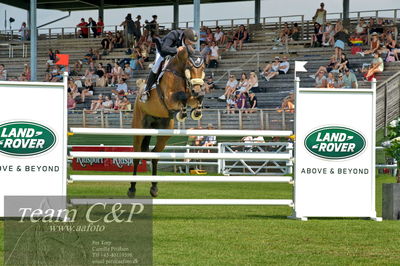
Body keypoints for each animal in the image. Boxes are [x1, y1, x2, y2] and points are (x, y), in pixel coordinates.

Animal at [128, 46, 205, 197]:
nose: (196, 90)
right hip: (139, 129)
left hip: (164, 132)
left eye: (203, 67)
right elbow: (182, 96)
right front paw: (183, 113)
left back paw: (154, 188)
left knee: (155, 155)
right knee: (137, 156)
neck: (179, 73)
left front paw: (195, 111)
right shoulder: (169, 99)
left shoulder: (191, 96)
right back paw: (132, 189)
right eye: (189, 67)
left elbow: (195, 98)